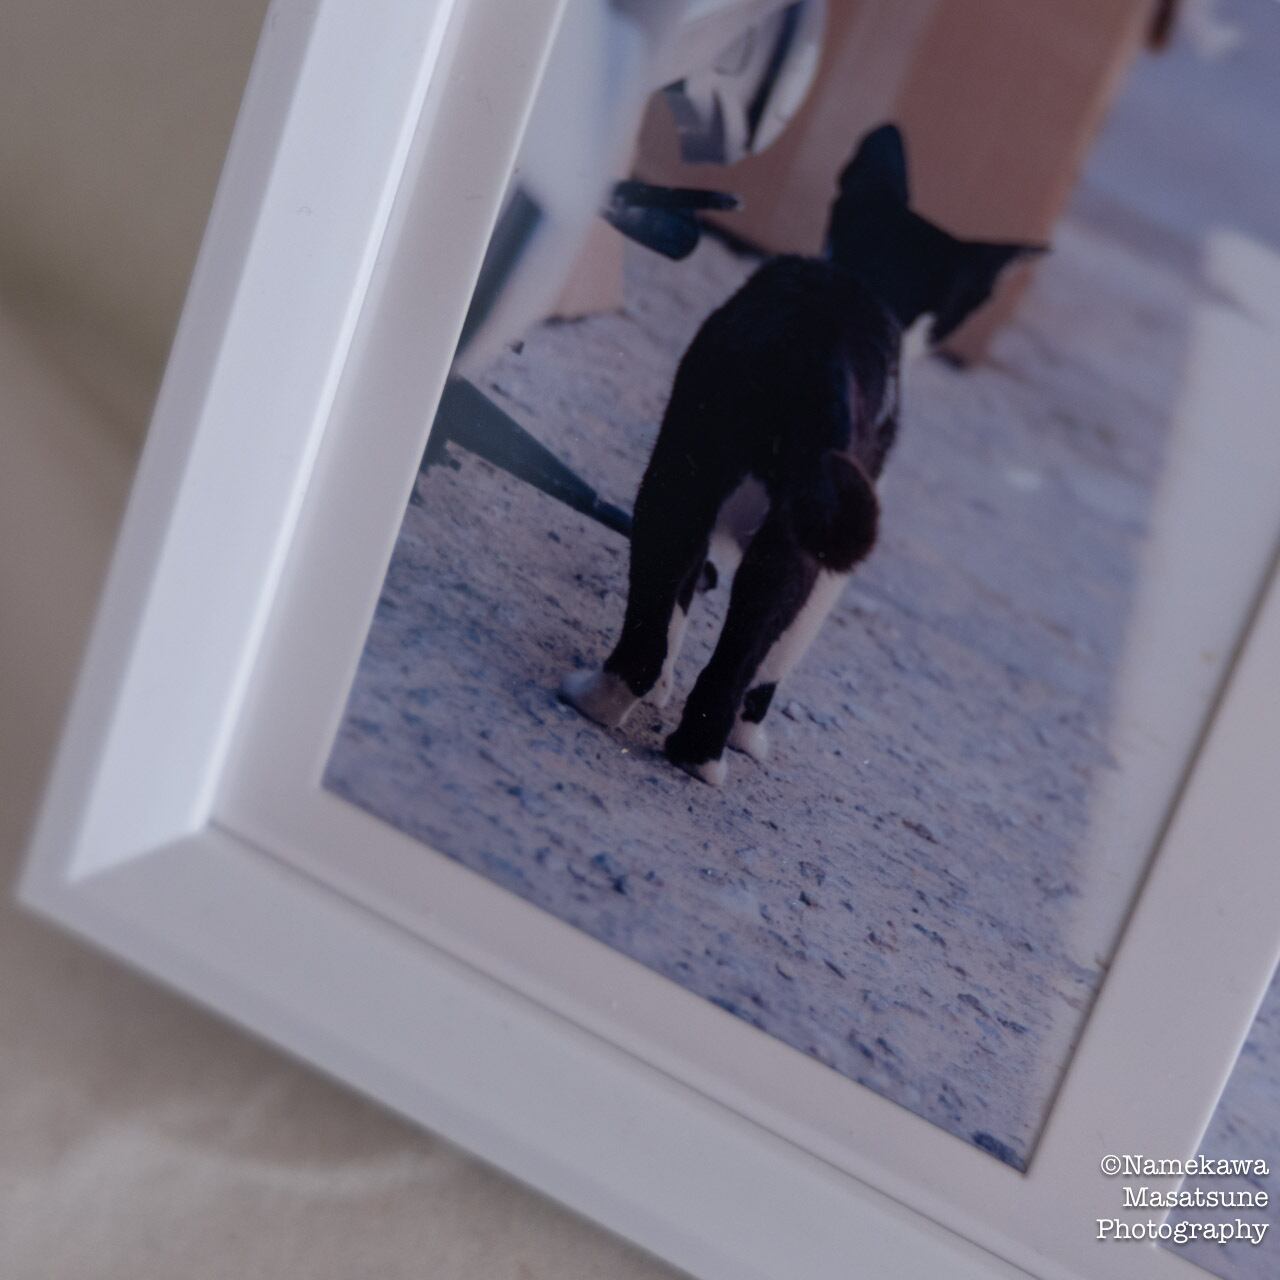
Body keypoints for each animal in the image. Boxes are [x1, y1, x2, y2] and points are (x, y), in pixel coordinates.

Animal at [562, 123, 1043, 784]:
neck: (871, 281)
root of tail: (815, 352)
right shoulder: (838, 556)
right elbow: (776, 655)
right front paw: (745, 733)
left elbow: (680, 600)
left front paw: (659, 690)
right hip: (799, 520)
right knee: (752, 632)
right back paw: (700, 752)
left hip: (688, 465)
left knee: (664, 582)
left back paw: (614, 707)